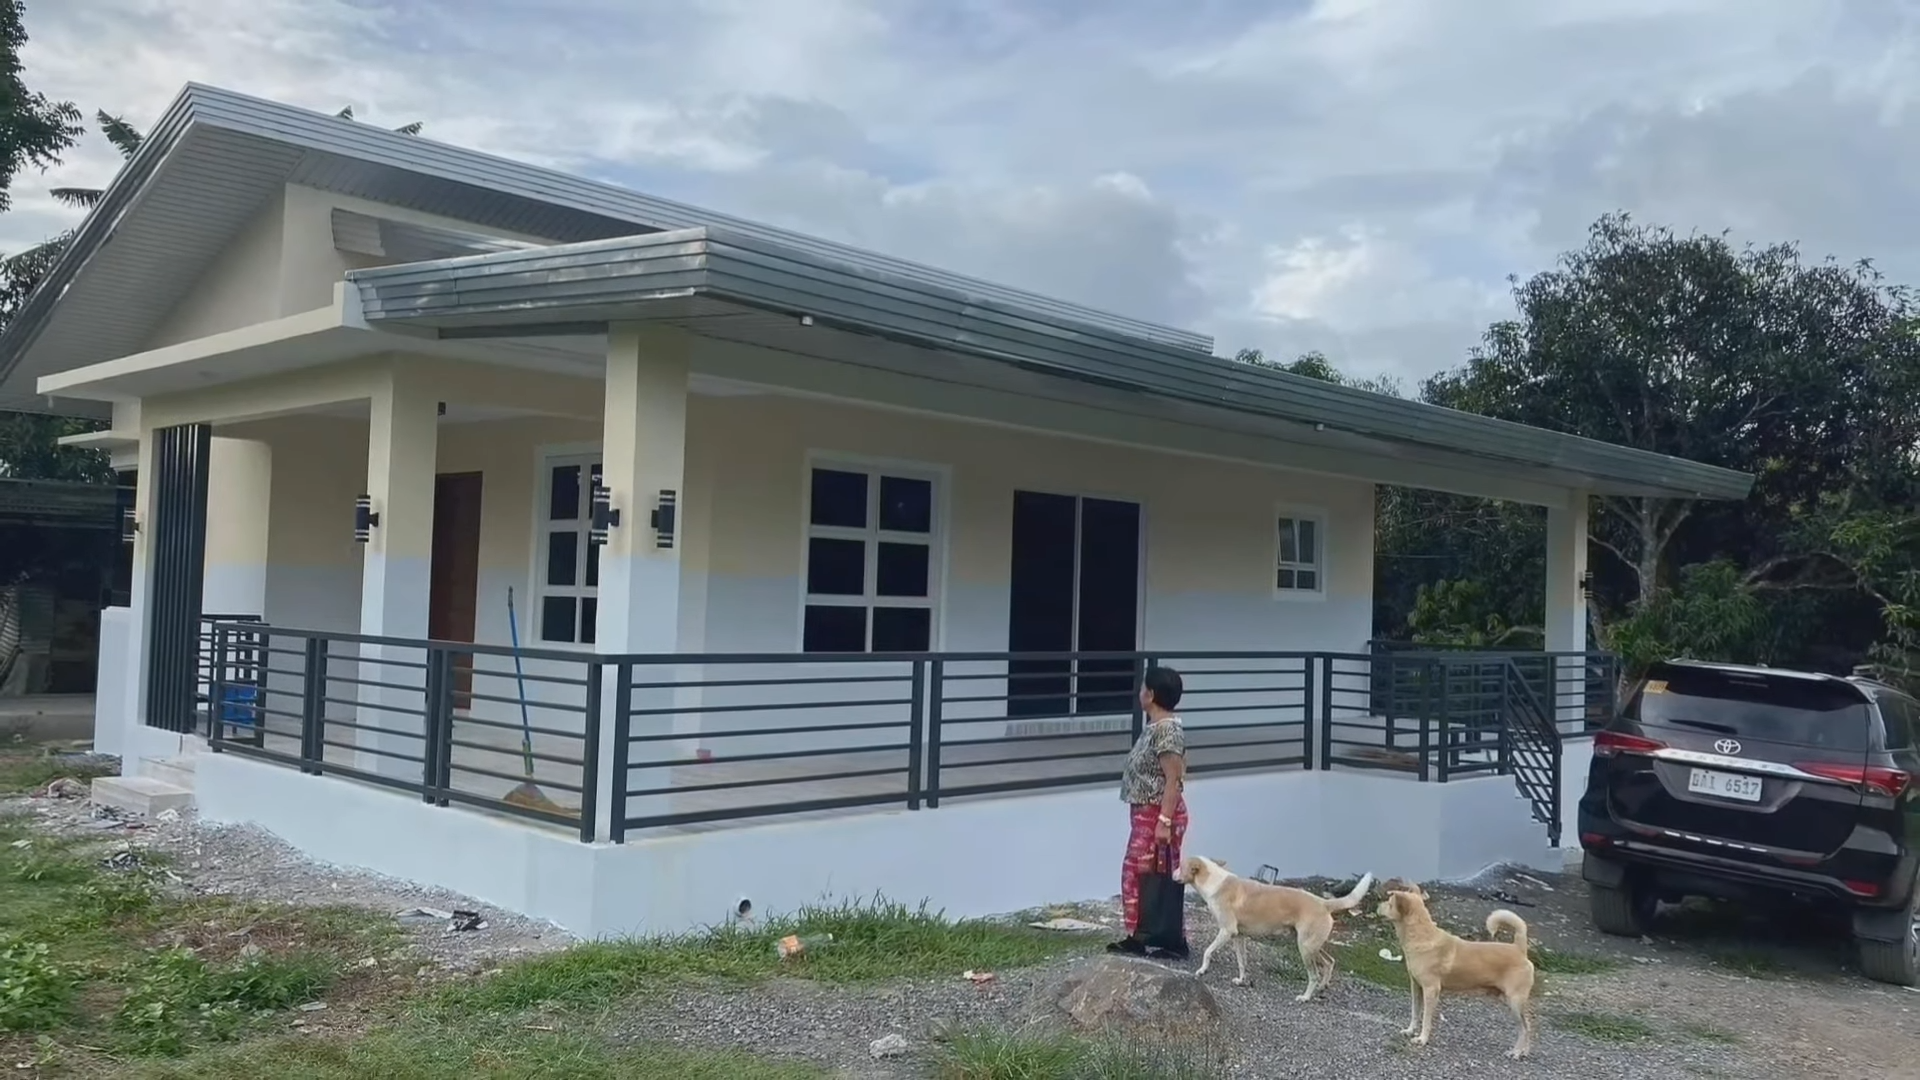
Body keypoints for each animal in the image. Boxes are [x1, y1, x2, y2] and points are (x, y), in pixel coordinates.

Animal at [1176, 855, 1373, 1001]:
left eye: (1179, 865)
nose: (1172, 873)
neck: (1214, 881)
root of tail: (1324, 903)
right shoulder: (1238, 936)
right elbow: (1242, 961)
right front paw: (1241, 980)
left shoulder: (1227, 931)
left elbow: (1208, 951)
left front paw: (1202, 970)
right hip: (1312, 945)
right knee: (1329, 962)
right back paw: (1322, 987)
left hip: (1306, 948)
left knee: (1314, 974)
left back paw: (1306, 997)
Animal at [1375, 883, 1536, 1060]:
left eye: (1390, 903)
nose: (1378, 905)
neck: (1422, 937)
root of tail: (1519, 949)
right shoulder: (1416, 987)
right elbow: (1415, 1012)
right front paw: (1410, 1031)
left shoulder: (1431, 990)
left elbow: (1426, 1019)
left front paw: (1422, 1039)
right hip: (1508, 1001)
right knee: (1527, 1026)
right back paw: (1524, 1052)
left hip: (1515, 1002)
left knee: (1525, 1027)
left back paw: (1516, 1052)